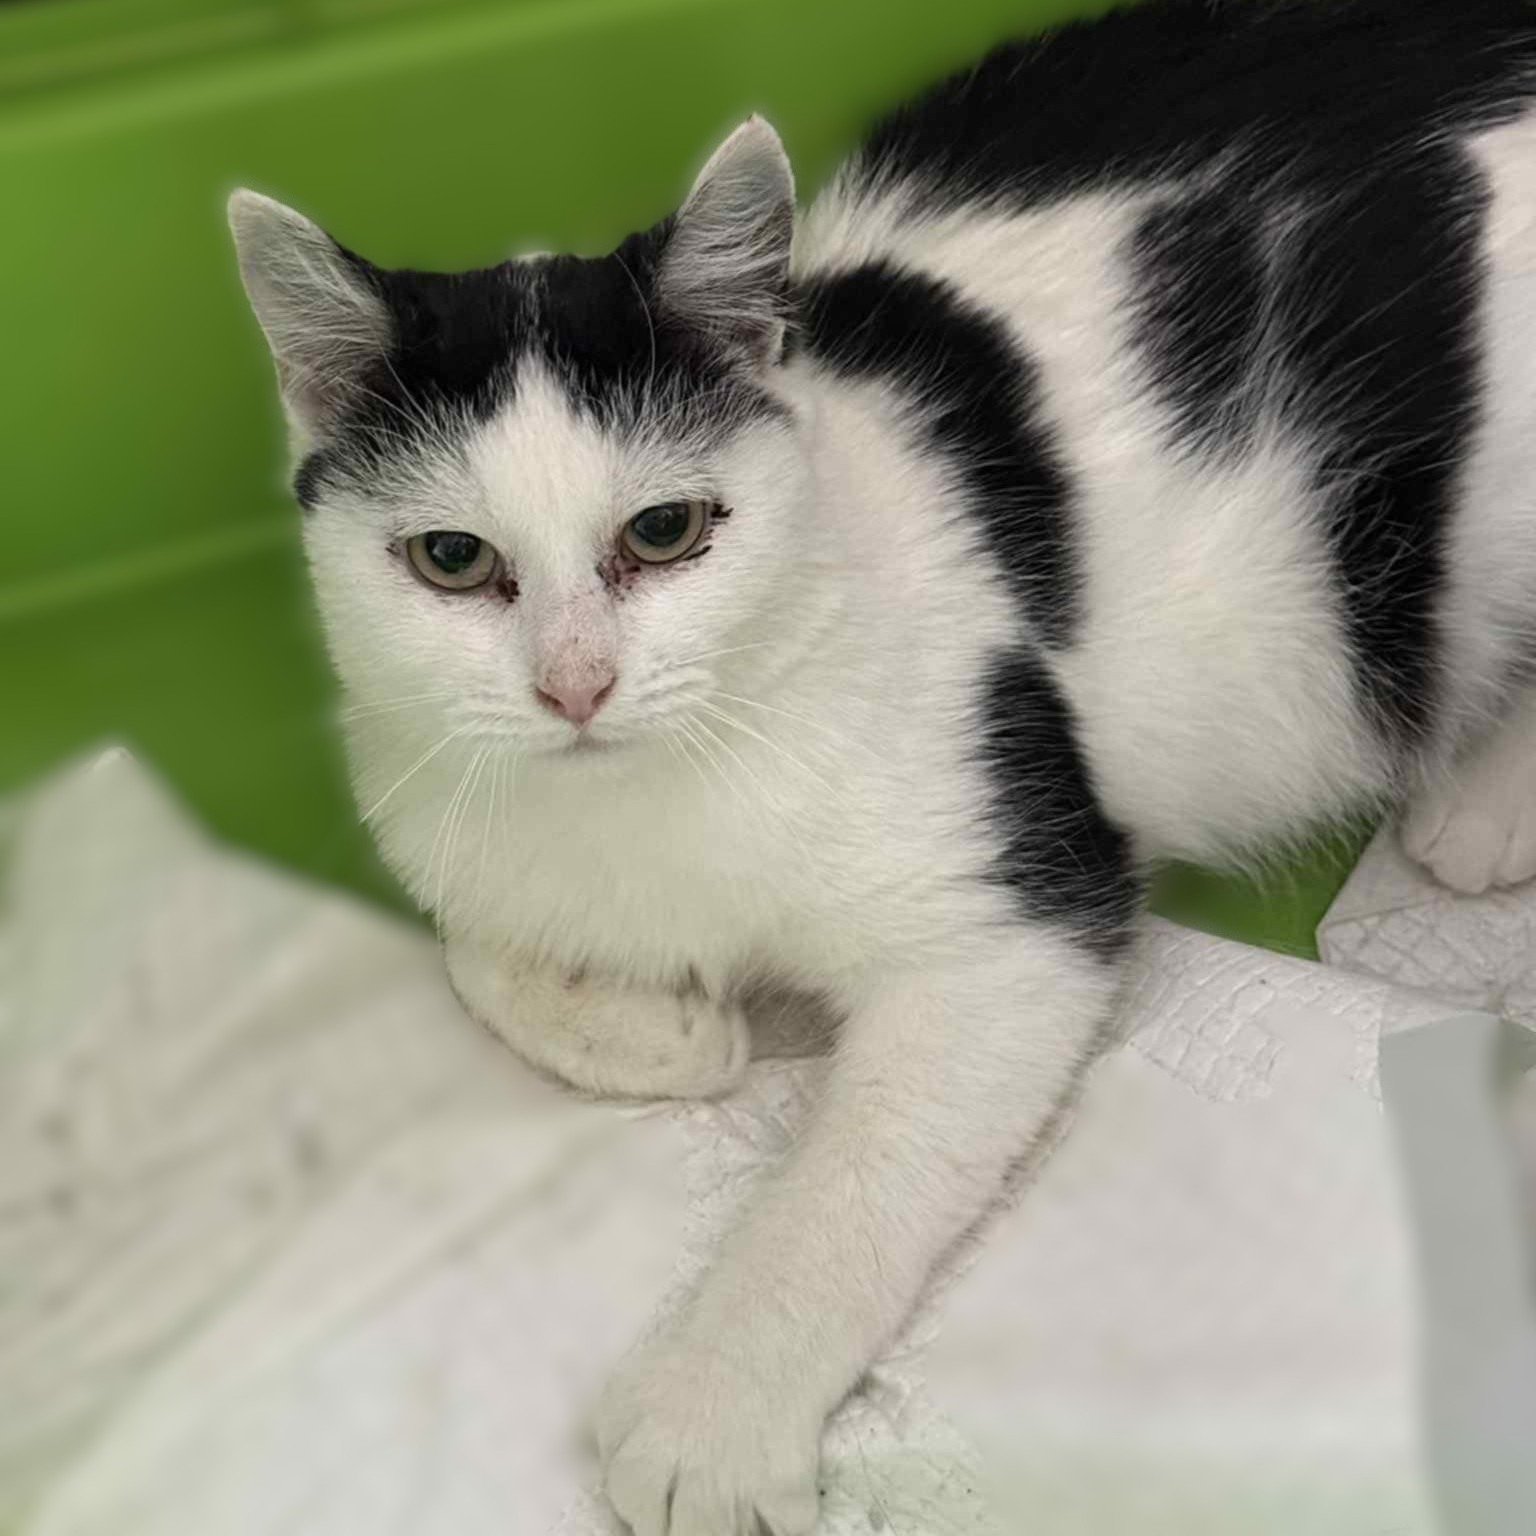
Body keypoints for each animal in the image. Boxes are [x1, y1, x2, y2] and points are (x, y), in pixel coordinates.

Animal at [229, 1, 1536, 1531]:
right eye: (450, 558)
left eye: (666, 530)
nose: (575, 684)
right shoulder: (425, 792)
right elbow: (465, 943)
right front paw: (661, 1033)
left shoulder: (1016, 910)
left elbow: (858, 1180)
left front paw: (710, 1415)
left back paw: (1488, 803)